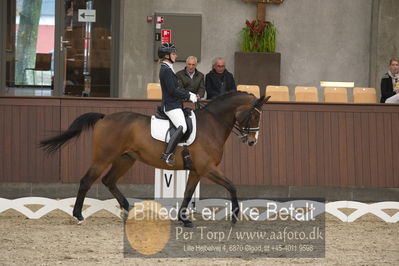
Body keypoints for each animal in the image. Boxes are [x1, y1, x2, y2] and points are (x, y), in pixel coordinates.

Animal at [40, 91, 270, 227]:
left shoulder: (197, 170)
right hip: (103, 158)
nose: (252, 141)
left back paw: (127, 210)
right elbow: (232, 185)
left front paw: (184, 219)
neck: (212, 124)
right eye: (254, 115)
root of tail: (105, 117)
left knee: (108, 181)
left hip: (125, 159)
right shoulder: (207, 168)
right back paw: (78, 216)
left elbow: (188, 193)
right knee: (87, 181)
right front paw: (235, 216)